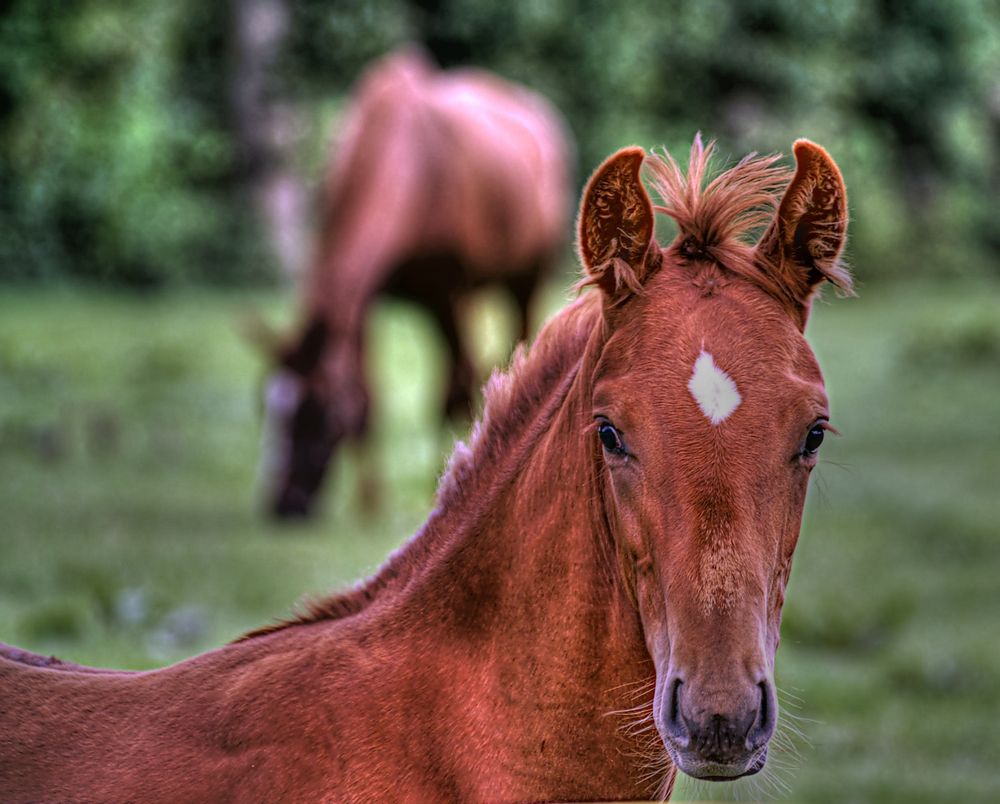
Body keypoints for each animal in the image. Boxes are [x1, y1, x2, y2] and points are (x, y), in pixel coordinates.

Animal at [258, 50, 572, 520]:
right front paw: (370, 501)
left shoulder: (447, 292)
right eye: (266, 408)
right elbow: (365, 398)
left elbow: (455, 395)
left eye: (313, 416)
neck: (407, 163)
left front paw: (445, 494)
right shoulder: (365, 303)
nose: (282, 505)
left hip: (525, 279)